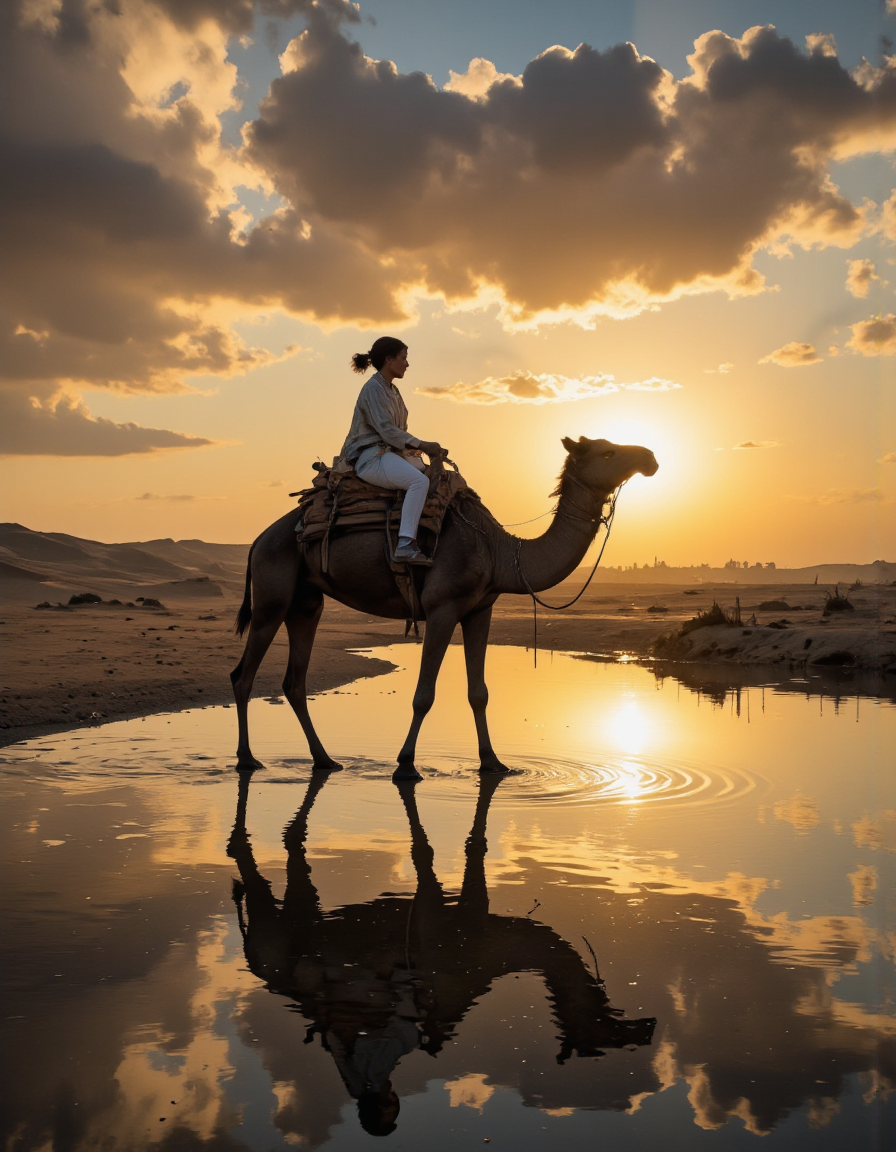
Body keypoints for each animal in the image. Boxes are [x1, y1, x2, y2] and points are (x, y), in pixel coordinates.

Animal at [231, 435, 658, 778]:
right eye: (608, 452)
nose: (650, 457)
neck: (501, 553)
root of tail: (257, 541)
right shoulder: (442, 609)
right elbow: (424, 693)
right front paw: (405, 765)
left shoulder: (479, 610)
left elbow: (478, 692)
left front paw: (493, 763)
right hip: (271, 596)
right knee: (243, 674)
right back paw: (248, 759)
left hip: (306, 603)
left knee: (295, 681)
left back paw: (325, 761)